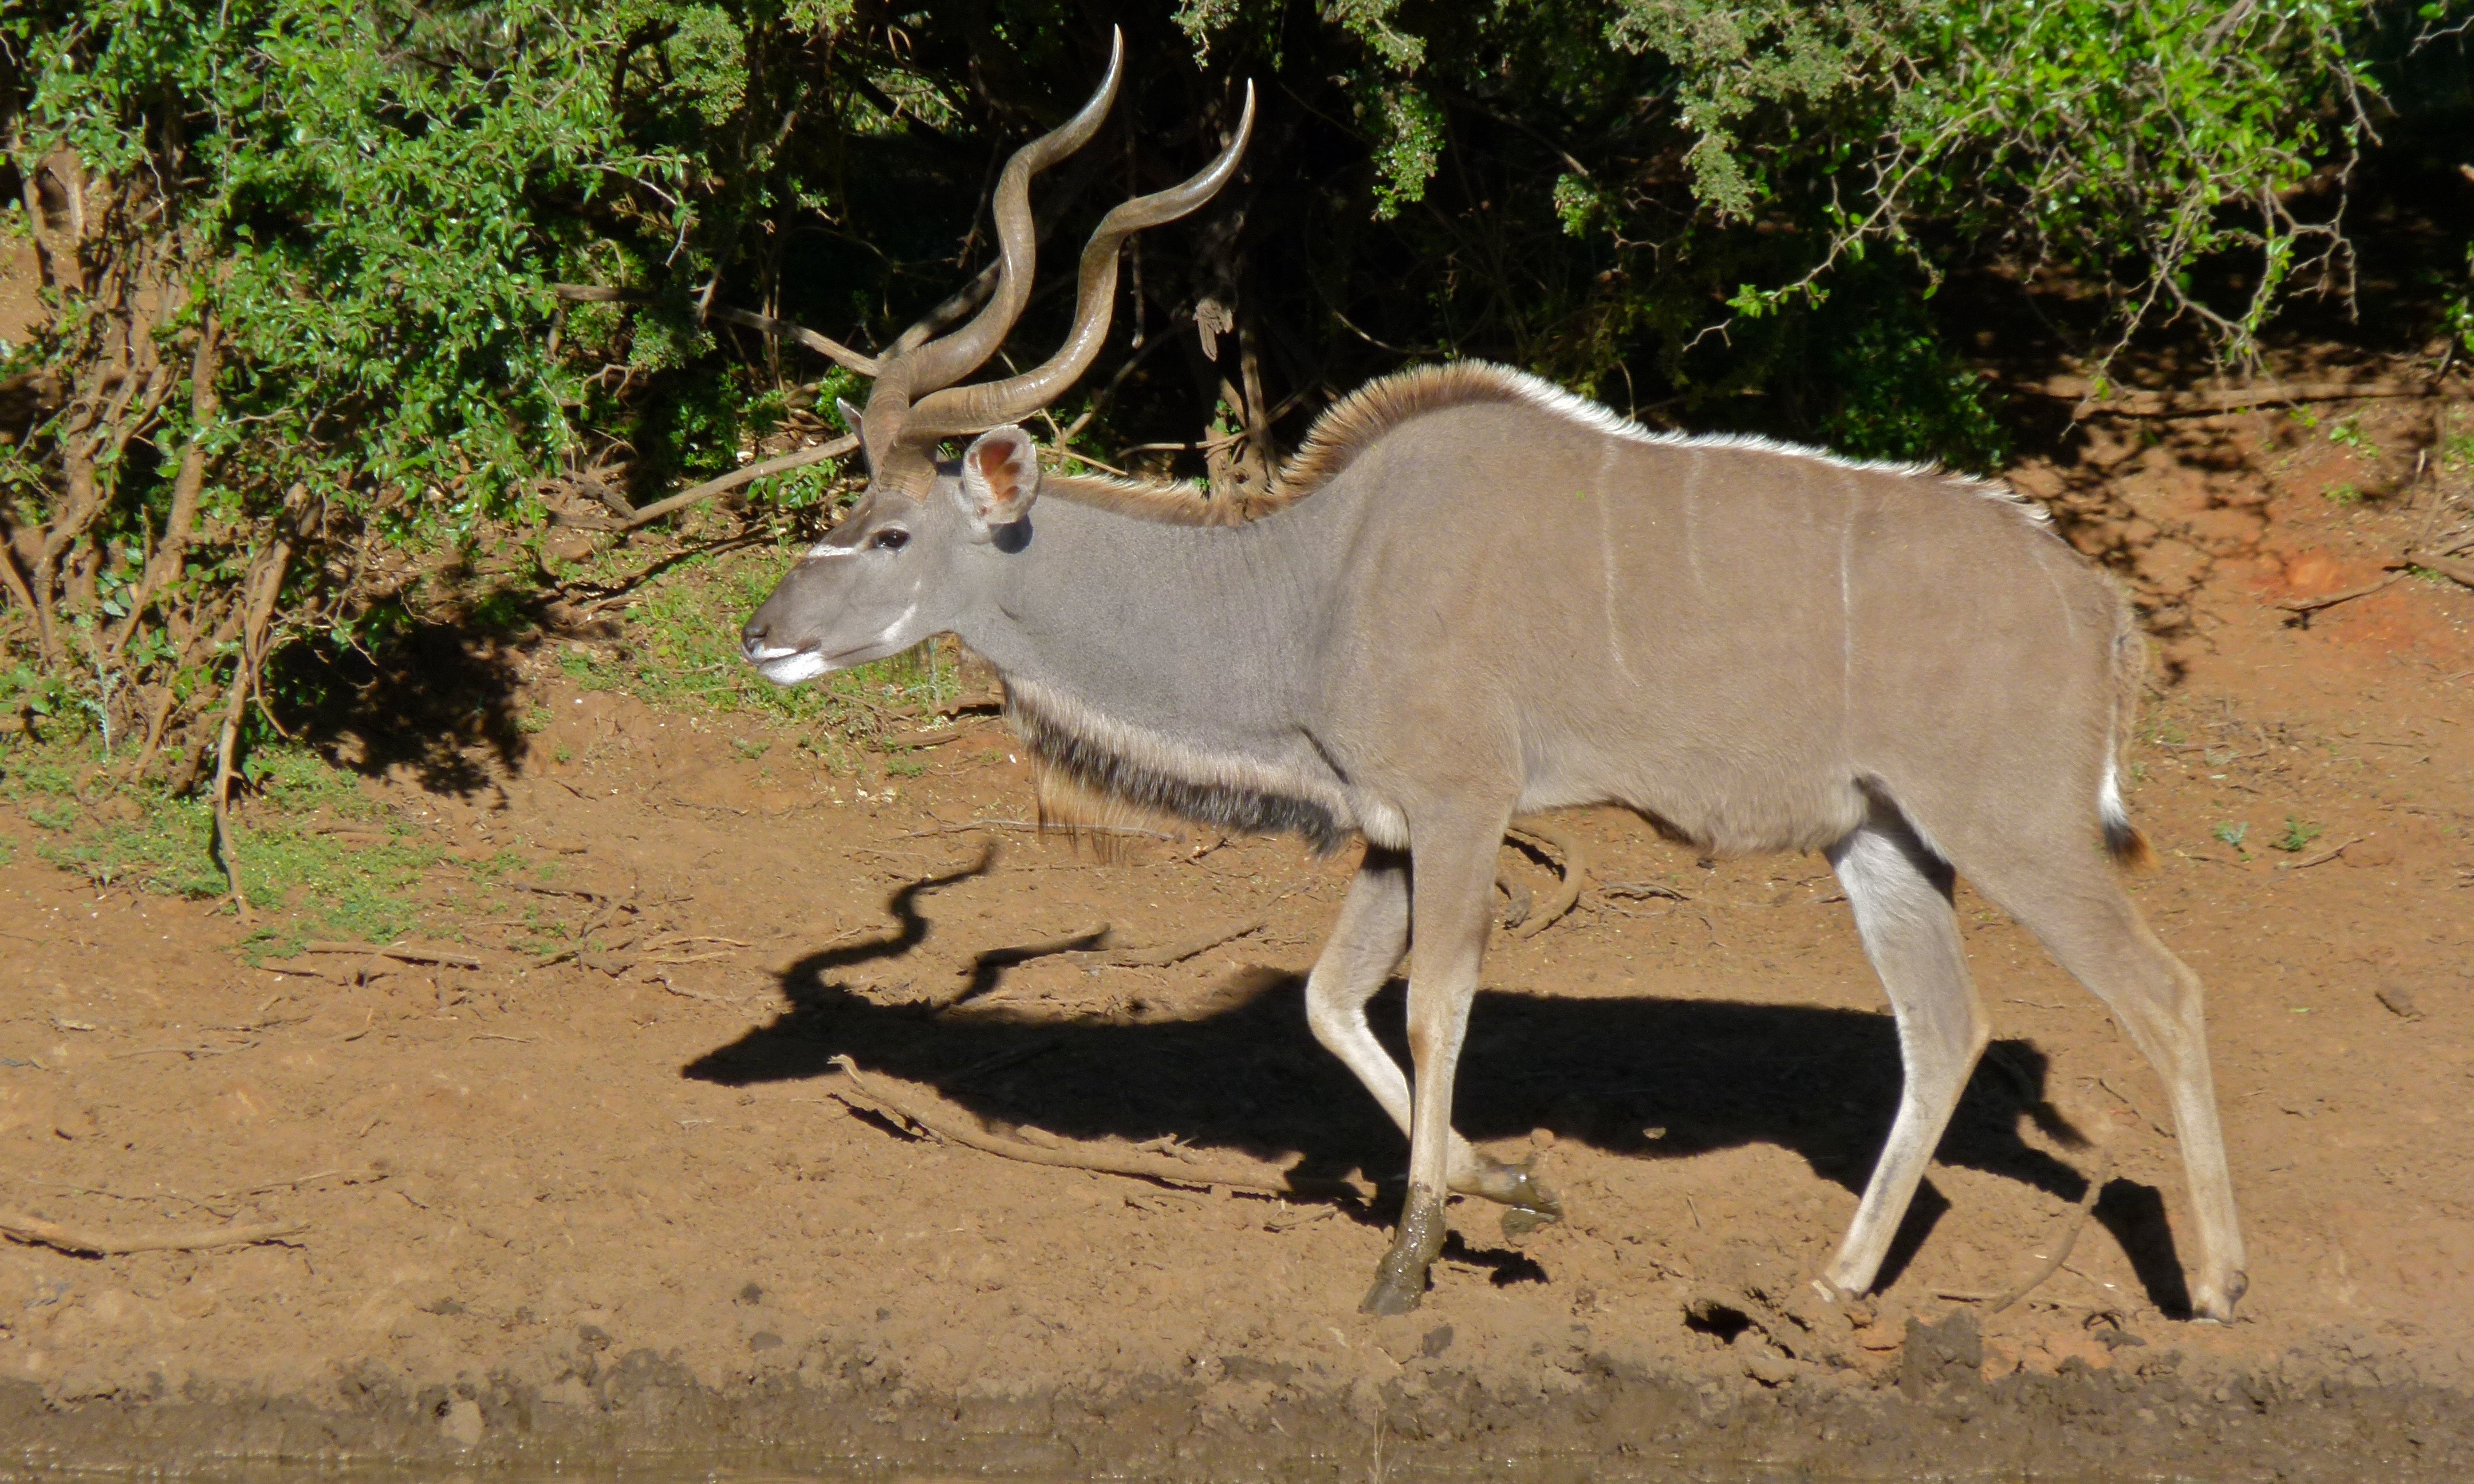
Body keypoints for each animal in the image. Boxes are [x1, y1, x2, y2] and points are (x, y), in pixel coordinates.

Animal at [732, 40, 2246, 1325]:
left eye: (889, 533)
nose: (762, 636)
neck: (1313, 581)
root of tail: (2097, 602)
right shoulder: (1392, 831)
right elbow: (1327, 1000)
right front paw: (1507, 1178)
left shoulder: (1466, 812)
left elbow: (1433, 1005)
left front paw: (1409, 1264)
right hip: (1881, 836)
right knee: (1945, 1028)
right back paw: (1834, 1284)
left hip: (2015, 828)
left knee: (2164, 991)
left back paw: (2219, 1284)